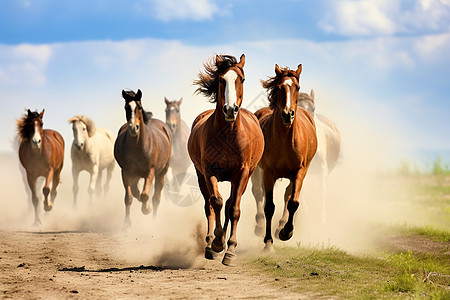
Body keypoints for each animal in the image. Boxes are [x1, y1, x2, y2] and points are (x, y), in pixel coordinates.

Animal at [114, 90, 172, 229]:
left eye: (139, 107)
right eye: (126, 107)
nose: (133, 128)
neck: (138, 145)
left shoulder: (150, 171)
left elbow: (145, 195)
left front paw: (147, 209)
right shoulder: (126, 172)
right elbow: (129, 197)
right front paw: (126, 224)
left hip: (161, 173)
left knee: (156, 197)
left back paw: (153, 220)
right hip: (136, 175)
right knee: (136, 192)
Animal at [188, 54, 266, 264]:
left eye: (242, 79)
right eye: (221, 80)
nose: (230, 110)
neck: (227, 136)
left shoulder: (242, 172)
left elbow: (234, 208)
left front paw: (229, 250)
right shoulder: (209, 171)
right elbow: (216, 202)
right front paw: (216, 243)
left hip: (244, 177)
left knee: (231, 203)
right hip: (201, 176)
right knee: (209, 206)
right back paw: (209, 244)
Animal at [251, 63, 318, 251]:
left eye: (298, 87)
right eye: (279, 87)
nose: (288, 114)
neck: (285, 139)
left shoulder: (299, 171)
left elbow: (293, 201)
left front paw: (285, 232)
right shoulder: (268, 172)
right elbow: (268, 206)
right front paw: (268, 242)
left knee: (287, 195)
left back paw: (280, 225)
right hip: (257, 171)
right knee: (258, 193)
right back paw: (259, 226)